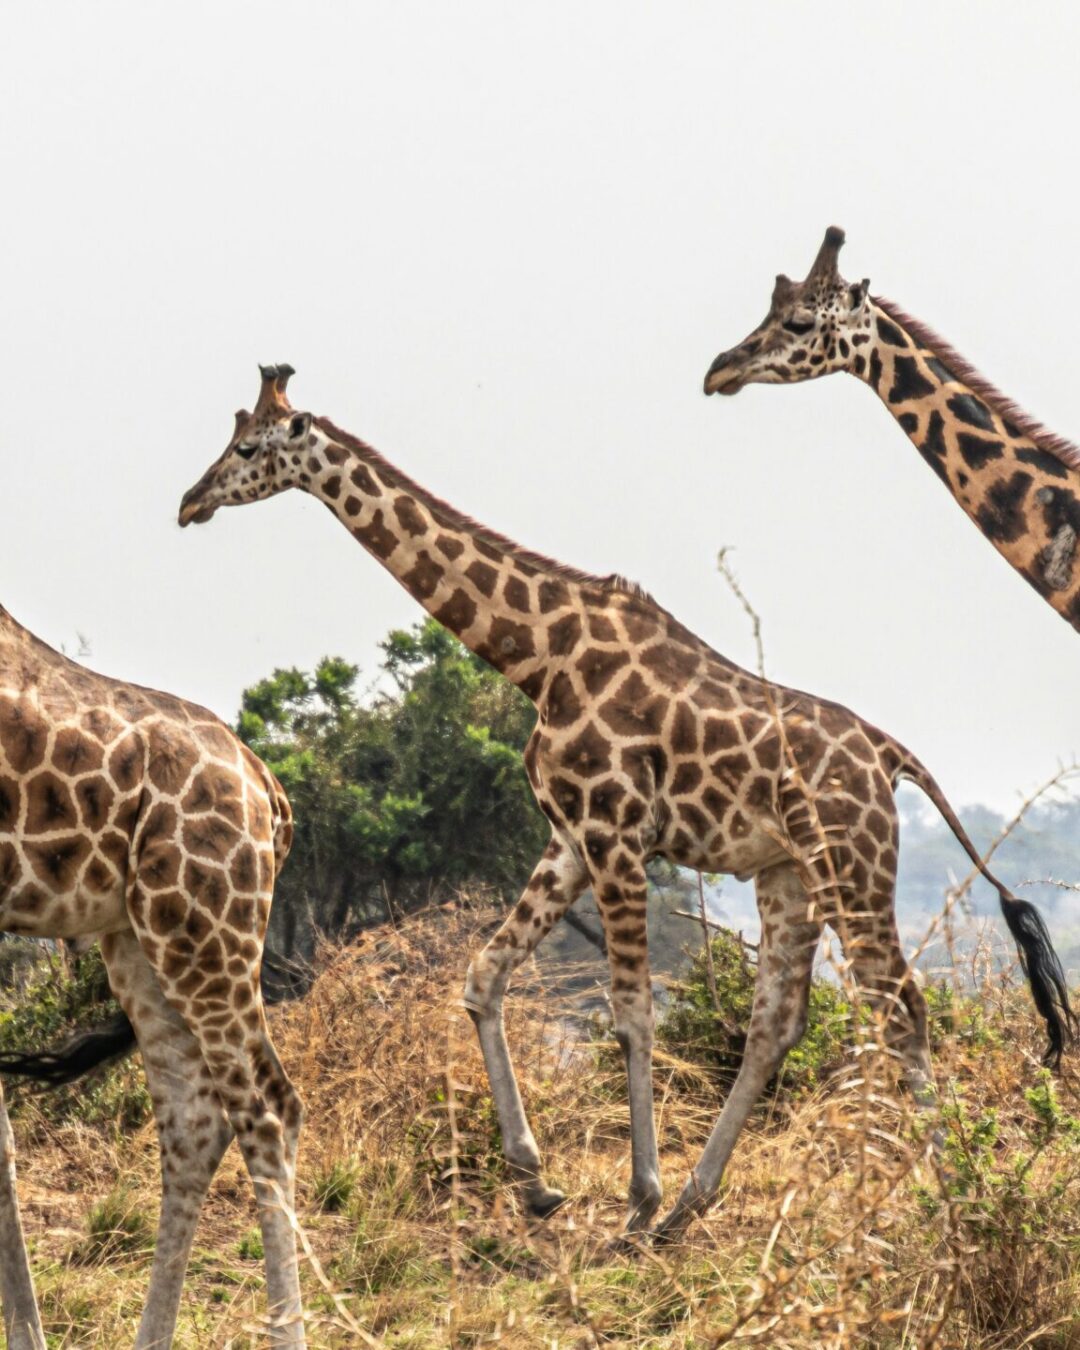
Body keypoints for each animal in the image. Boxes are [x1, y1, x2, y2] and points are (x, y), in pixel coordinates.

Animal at [178, 364, 1073, 1241]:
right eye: (231, 434)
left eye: (250, 446)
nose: (189, 502)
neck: (537, 656)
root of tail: (890, 755)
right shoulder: (570, 838)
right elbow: (484, 975)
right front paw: (537, 1181)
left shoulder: (615, 833)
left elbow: (633, 1011)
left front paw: (635, 1194)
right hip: (790, 874)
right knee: (779, 1022)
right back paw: (692, 1206)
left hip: (852, 864)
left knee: (902, 1006)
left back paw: (950, 1196)